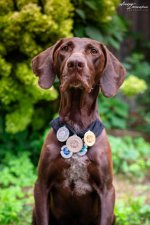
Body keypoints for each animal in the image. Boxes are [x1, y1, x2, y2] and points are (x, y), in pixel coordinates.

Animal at [31, 37, 125, 224]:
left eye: (94, 51)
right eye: (65, 48)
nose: (75, 63)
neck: (77, 127)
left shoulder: (107, 191)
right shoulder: (41, 186)